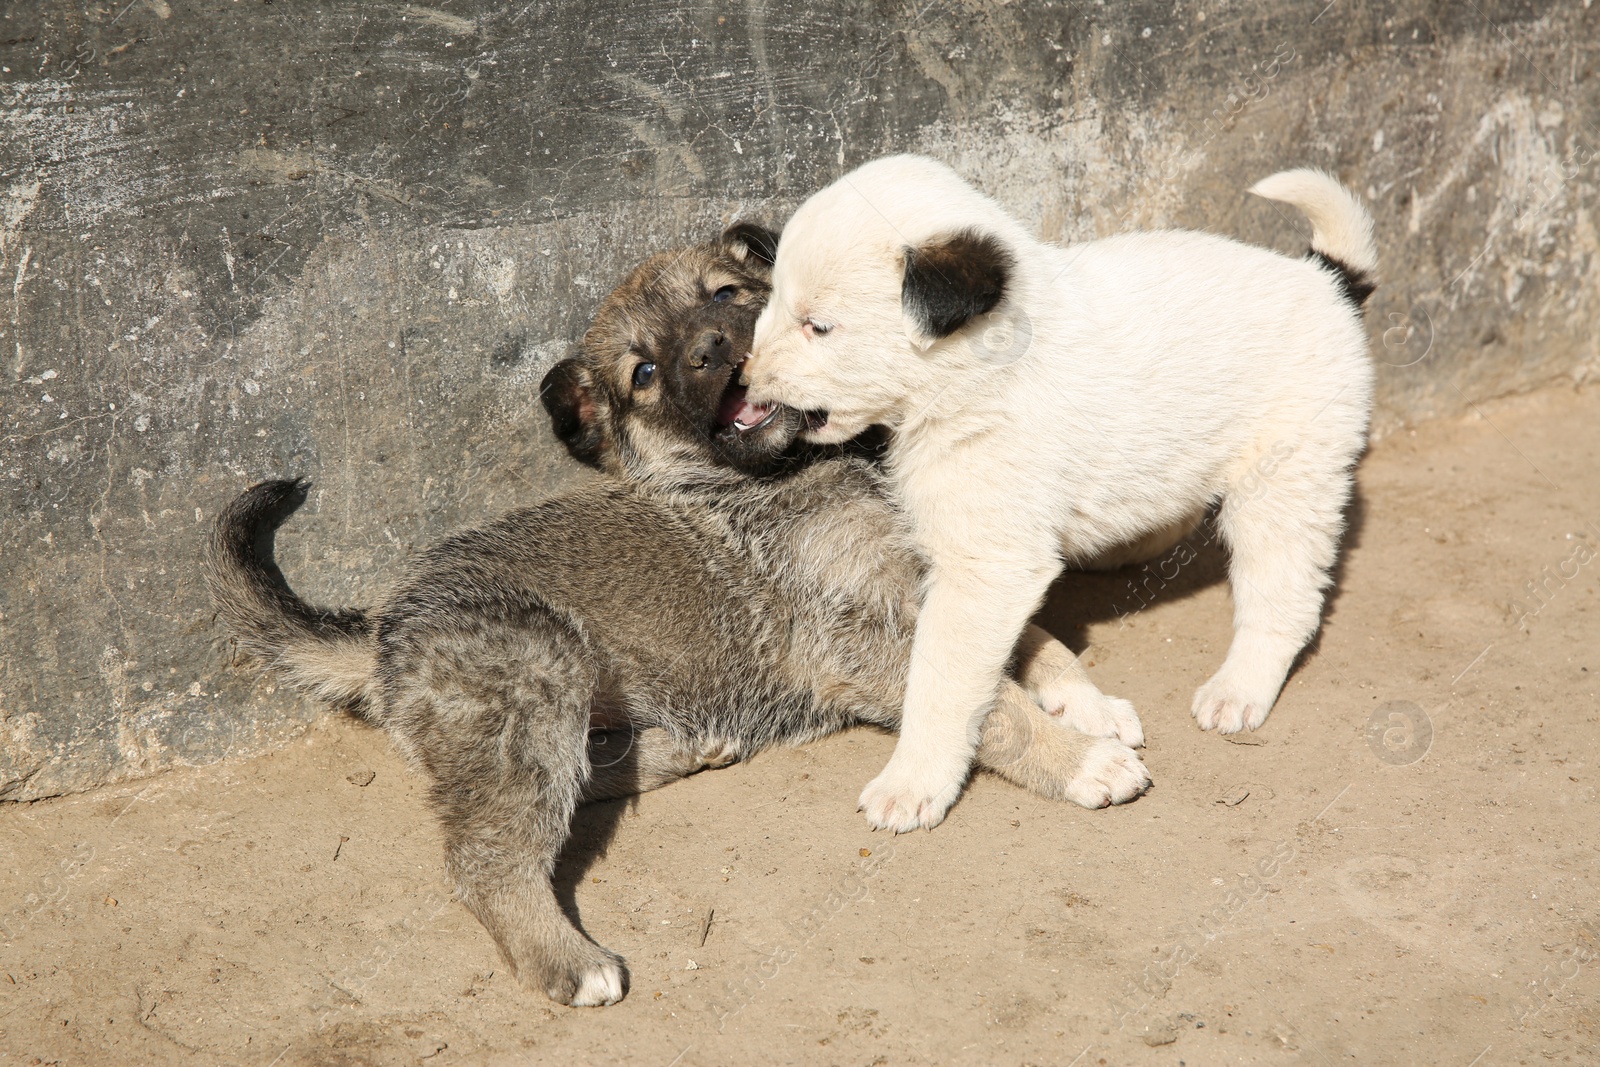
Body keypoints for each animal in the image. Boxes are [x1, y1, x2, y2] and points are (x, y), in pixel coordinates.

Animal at [206, 227, 1152, 1011]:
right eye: (646, 373)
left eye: (729, 293)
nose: (711, 348)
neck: (810, 465)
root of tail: (382, 628)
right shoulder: (858, 636)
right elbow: (983, 704)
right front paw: (1080, 760)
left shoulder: (935, 583)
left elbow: (1033, 641)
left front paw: (1087, 702)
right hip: (533, 672)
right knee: (488, 856)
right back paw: (569, 958)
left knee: (579, 774)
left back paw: (681, 747)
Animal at [742, 151, 1382, 831]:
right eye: (772, 301)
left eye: (819, 326)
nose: (745, 378)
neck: (976, 373)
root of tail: (1324, 280)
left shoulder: (985, 568)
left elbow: (939, 683)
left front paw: (912, 781)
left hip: (1289, 478)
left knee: (1283, 599)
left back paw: (1238, 689)